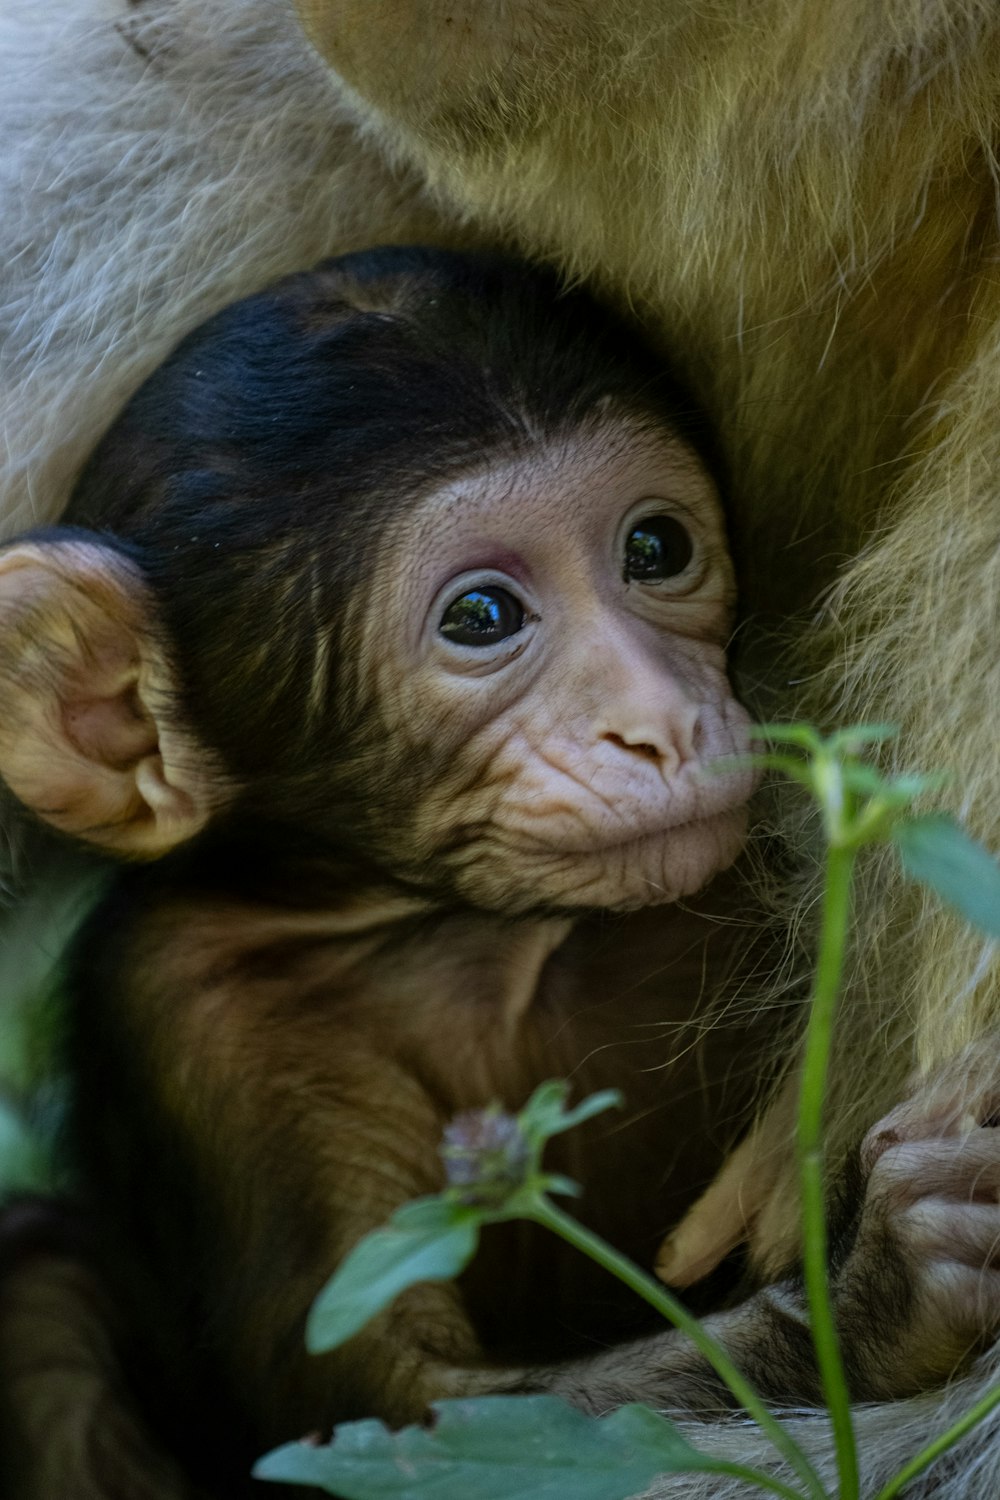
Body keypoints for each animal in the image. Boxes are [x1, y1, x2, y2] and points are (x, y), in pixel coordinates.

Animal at [1, 0, 1000, 1494]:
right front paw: (890, 1283)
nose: (662, 720)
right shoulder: (205, 1021)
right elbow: (405, 1412)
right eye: (483, 617)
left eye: (657, 548)